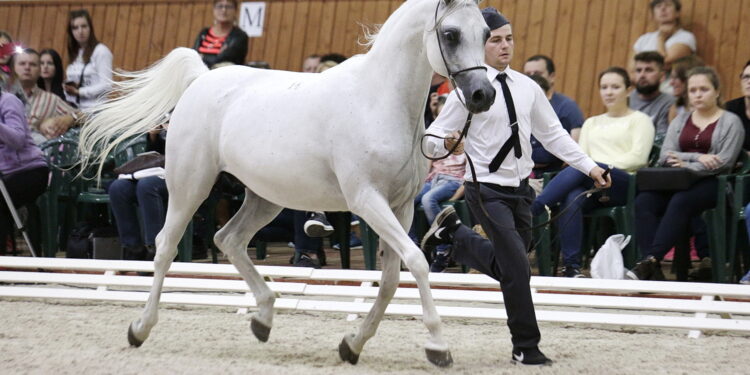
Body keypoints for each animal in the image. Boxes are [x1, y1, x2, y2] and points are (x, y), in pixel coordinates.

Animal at [79, 0, 496, 368]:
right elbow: (418, 263)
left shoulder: (402, 207)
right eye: (451, 34)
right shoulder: (367, 201)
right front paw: (438, 347)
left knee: (228, 239)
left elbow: (392, 279)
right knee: (166, 247)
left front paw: (352, 345)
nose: (483, 95)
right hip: (189, 185)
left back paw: (263, 319)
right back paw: (140, 328)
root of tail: (201, 79)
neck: (378, 102)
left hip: (264, 198)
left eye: (486, 33)